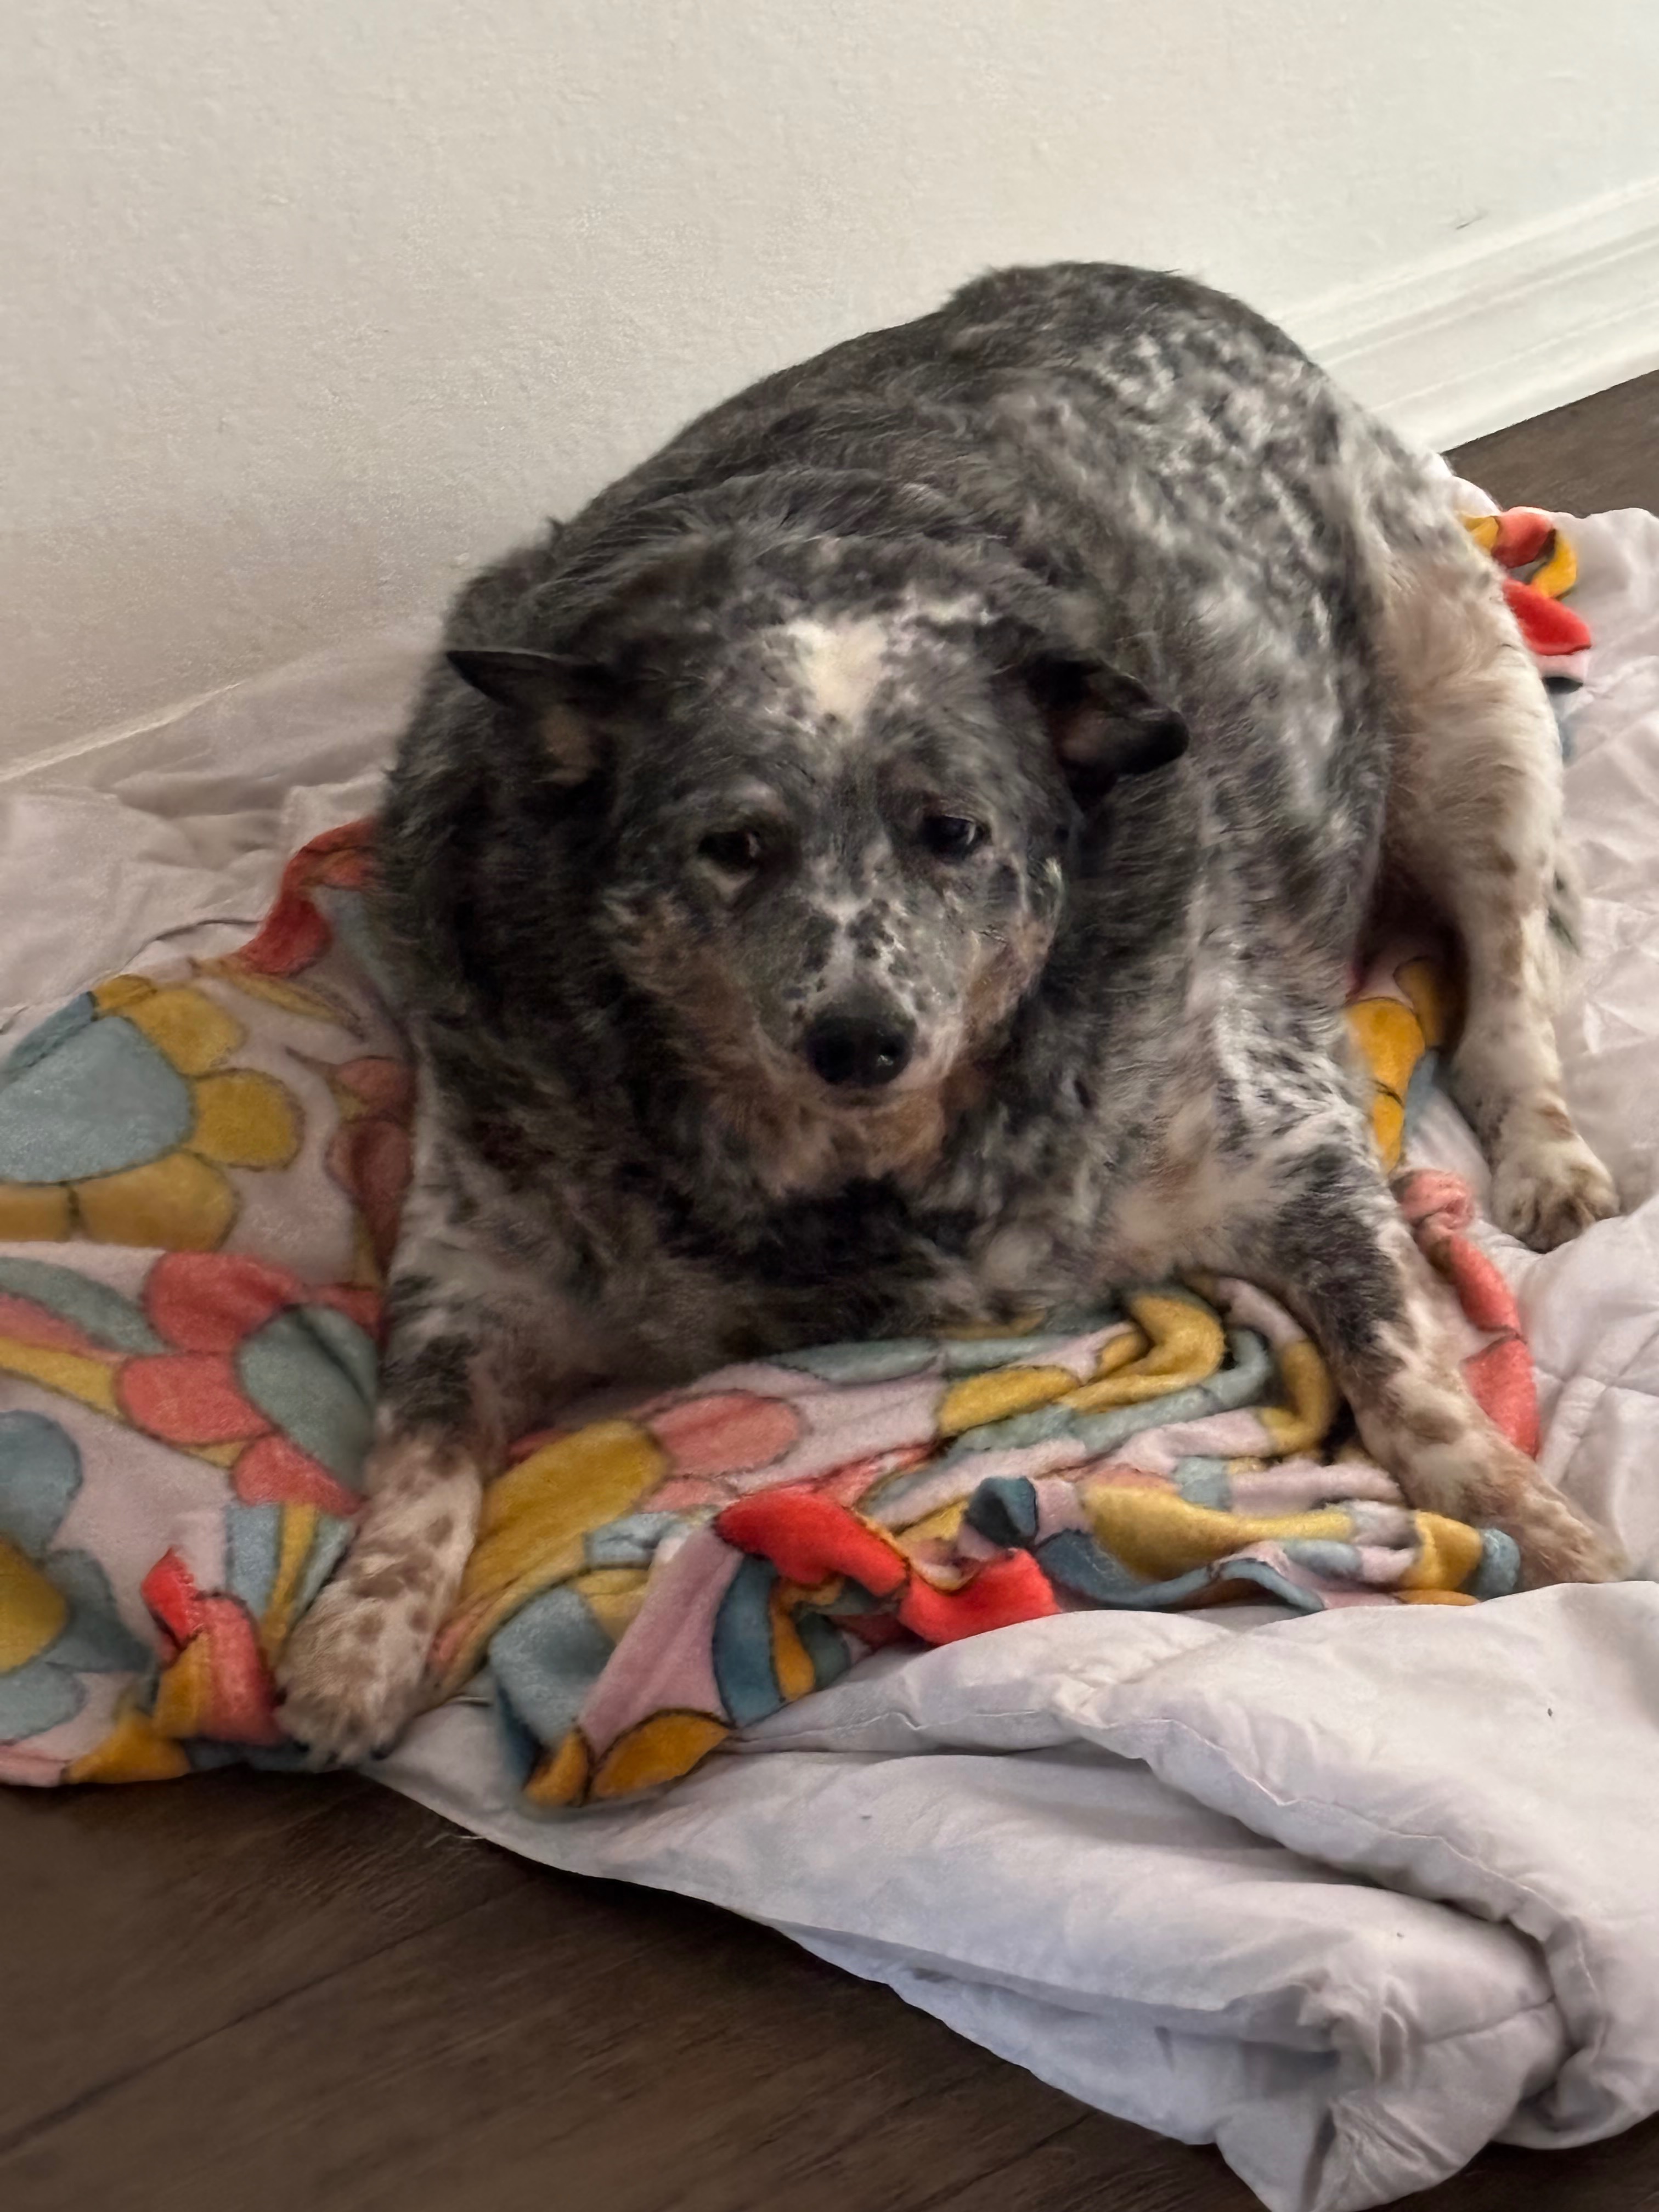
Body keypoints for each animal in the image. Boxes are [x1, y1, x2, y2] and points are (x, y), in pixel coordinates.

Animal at [277, 262, 1622, 1762]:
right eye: (733, 845)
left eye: (955, 832)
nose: (861, 1039)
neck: (855, 1187)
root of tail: (1166, 287)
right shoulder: (473, 1263)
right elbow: (420, 1450)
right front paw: (358, 1637)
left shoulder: (1296, 1141)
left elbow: (1404, 1362)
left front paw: (1527, 1515)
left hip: (1473, 711)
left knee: (1510, 979)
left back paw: (1547, 1152)